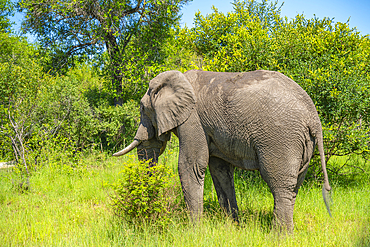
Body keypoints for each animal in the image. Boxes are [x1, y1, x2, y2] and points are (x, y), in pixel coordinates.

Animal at [113, 70, 332, 232]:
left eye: (142, 108)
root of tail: (314, 117)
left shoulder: (193, 119)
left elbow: (190, 165)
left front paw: (194, 231)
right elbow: (220, 171)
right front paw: (233, 226)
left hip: (280, 138)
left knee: (279, 184)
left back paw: (279, 236)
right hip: (303, 143)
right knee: (294, 186)